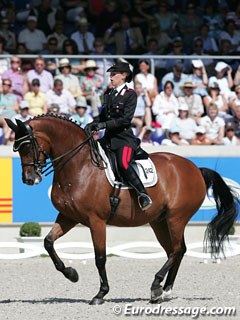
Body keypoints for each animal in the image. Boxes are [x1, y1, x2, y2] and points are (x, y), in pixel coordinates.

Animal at [5, 115, 238, 304]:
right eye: (16, 148)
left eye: (27, 147)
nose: (29, 179)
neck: (79, 165)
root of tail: (196, 169)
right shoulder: (68, 217)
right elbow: (48, 242)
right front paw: (71, 274)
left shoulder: (96, 220)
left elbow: (100, 258)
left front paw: (101, 294)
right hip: (159, 221)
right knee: (174, 251)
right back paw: (164, 291)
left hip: (176, 218)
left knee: (177, 249)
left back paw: (156, 286)